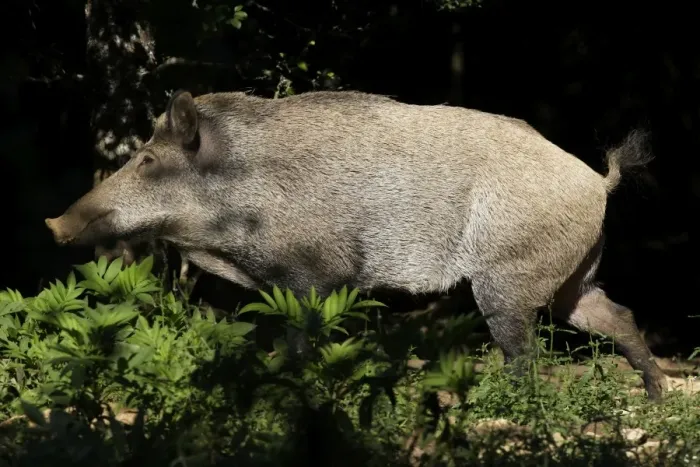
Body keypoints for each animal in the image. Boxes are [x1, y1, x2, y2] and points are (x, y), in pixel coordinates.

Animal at [45, 89, 667, 400]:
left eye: (148, 160)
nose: (53, 223)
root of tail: (597, 182)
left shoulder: (317, 273)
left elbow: (302, 338)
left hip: (509, 277)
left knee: (525, 351)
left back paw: (513, 405)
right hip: (570, 277)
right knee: (615, 314)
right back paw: (657, 396)